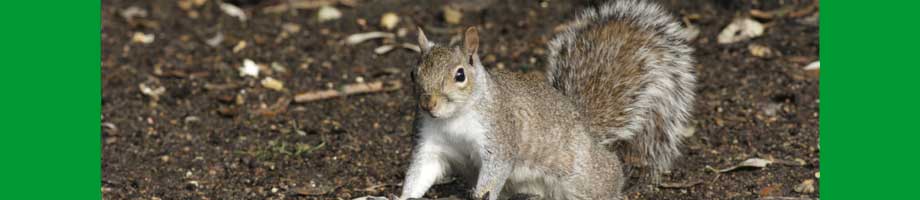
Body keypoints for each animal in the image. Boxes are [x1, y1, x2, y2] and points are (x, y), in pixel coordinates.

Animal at [398, 0, 692, 199]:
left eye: (460, 75)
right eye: (413, 73)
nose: (428, 104)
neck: (454, 119)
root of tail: (587, 129)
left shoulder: (500, 136)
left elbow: (496, 170)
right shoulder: (431, 143)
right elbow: (421, 173)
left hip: (583, 175)